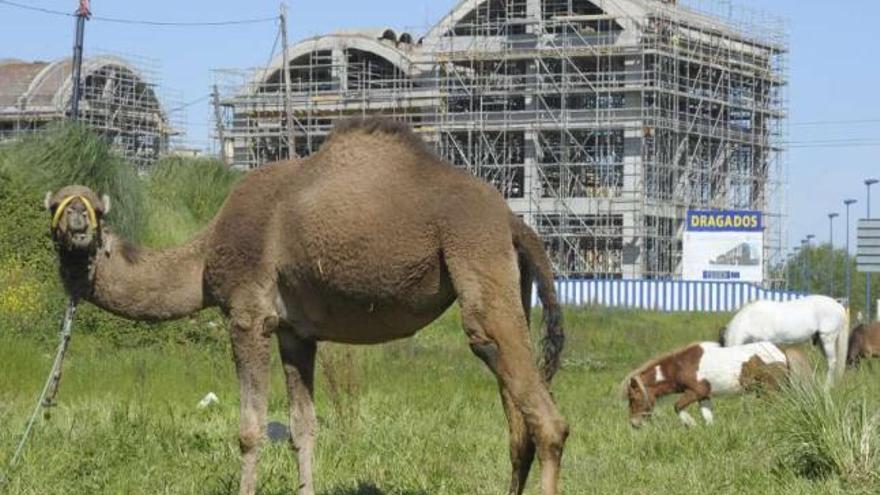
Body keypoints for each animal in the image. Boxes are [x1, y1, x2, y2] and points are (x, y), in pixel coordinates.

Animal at [46, 119, 572, 495]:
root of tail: (514, 221)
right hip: (503, 279)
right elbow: (303, 428)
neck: (205, 253)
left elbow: (250, 428)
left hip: (474, 249)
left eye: (94, 209)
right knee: (517, 424)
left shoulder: (248, 316)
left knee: (547, 421)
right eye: (56, 206)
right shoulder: (295, 332)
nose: (76, 222)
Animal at [624, 342, 808, 428]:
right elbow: (708, 417)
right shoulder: (704, 396)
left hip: (770, 391)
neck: (681, 366)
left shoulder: (695, 392)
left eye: (633, 398)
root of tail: (781, 352)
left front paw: (690, 424)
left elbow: (677, 406)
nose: (634, 424)